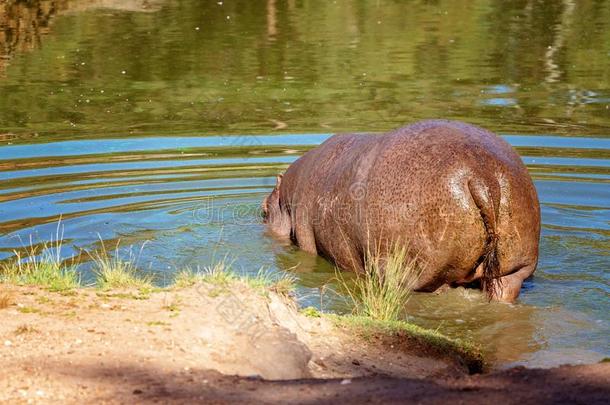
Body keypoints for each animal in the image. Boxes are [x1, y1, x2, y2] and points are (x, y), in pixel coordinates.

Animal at [262, 119, 536, 300]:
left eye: (264, 211)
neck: (286, 198)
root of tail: (482, 174)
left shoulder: (306, 238)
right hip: (516, 265)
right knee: (505, 287)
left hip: (417, 268)